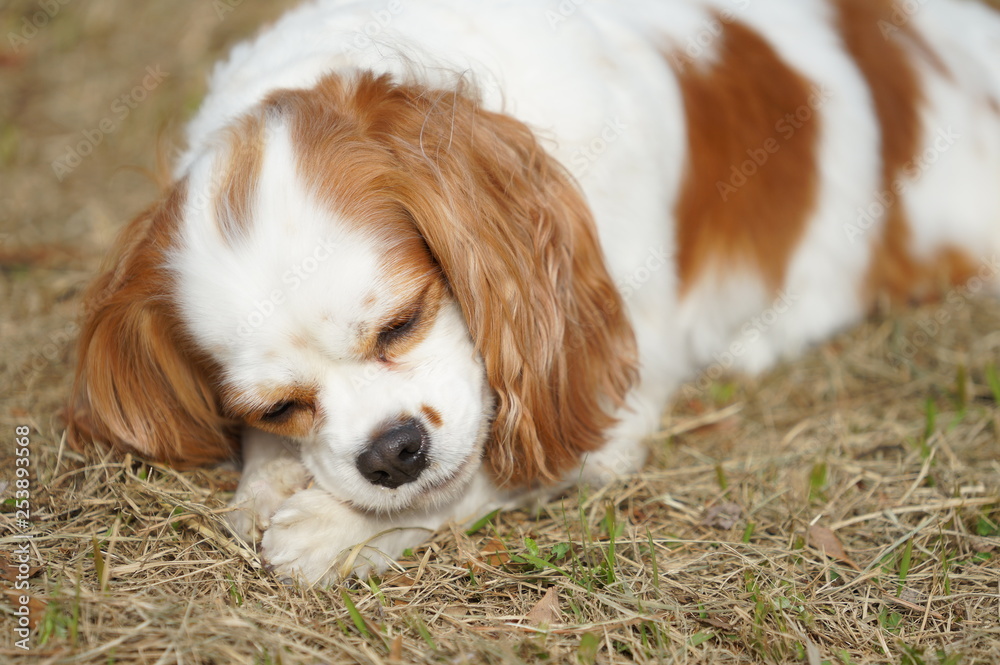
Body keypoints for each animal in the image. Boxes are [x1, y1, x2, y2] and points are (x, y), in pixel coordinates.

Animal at [68, 0, 1000, 580]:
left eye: (403, 322)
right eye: (278, 406)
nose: (392, 451)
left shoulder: (608, 399)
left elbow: (476, 474)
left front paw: (331, 530)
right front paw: (266, 483)